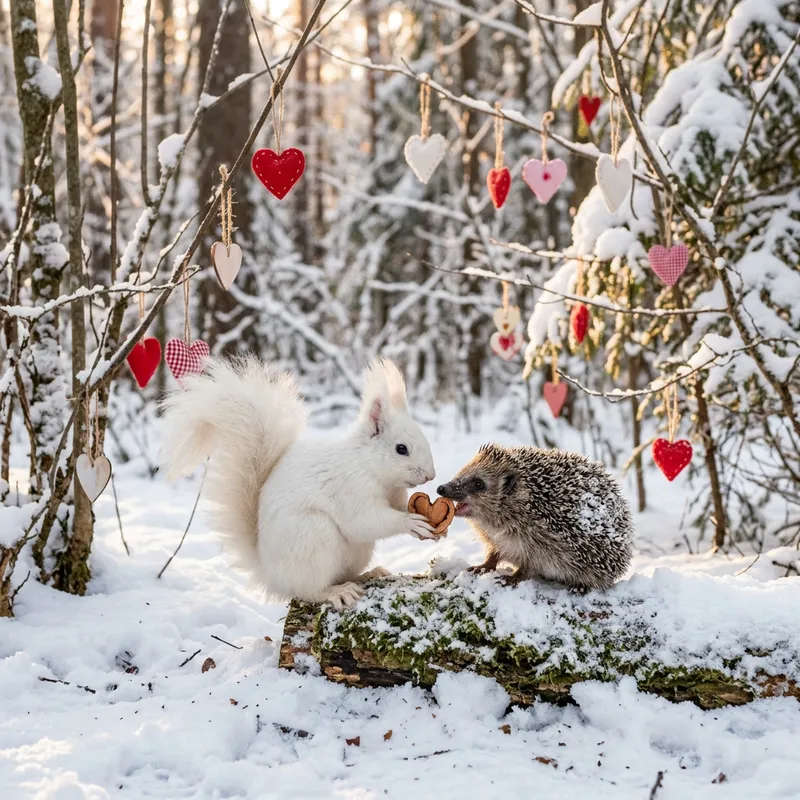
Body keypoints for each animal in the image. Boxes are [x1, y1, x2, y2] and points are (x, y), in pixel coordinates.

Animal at [161, 356, 437, 609]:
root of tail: (272, 575)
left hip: (355, 552)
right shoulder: (350, 488)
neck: (369, 467)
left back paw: (368, 574)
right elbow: (364, 522)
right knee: (309, 590)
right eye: (401, 449)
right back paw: (336, 592)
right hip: (314, 536)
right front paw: (410, 522)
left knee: (343, 574)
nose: (430, 476)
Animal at [437, 444, 633, 591]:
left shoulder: (544, 543)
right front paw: (481, 567)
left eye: (478, 483)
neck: (498, 524)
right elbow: (493, 554)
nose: (441, 488)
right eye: (462, 471)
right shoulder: (494, 539)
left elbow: (530, 566)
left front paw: (511, 578)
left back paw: (580, 586)